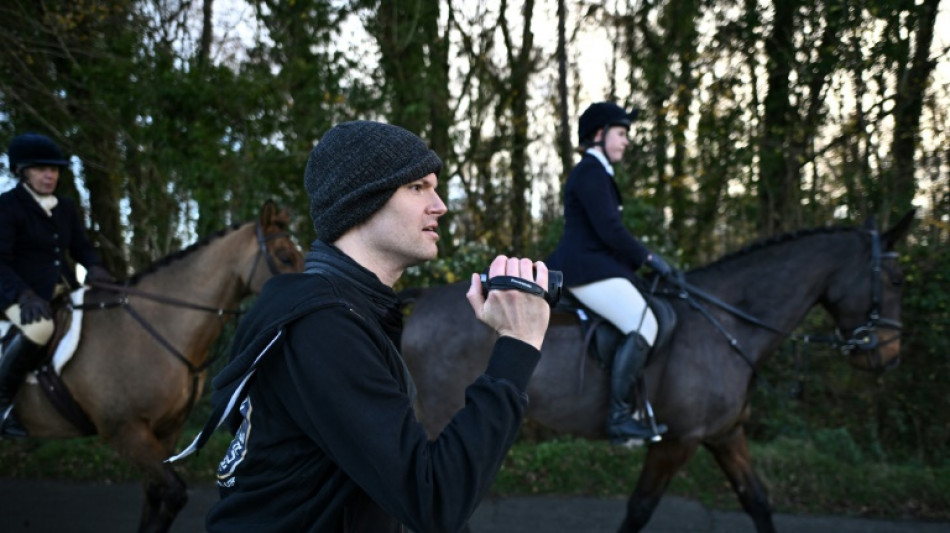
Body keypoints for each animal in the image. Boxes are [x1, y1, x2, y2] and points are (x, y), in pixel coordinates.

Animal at [5, 201, 304, 532]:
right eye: (285, 257)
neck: (153, 329)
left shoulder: (167, 428)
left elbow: (154, 494)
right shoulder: (126, 431)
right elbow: (173, 493)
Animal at [400, 213, 916, 532]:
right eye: (895, 280)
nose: (889, 356)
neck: (727, 325)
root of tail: (423, 297)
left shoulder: (725, 434)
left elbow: (758, 503)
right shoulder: (676, 440)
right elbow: (639, 509)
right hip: (441, 420)